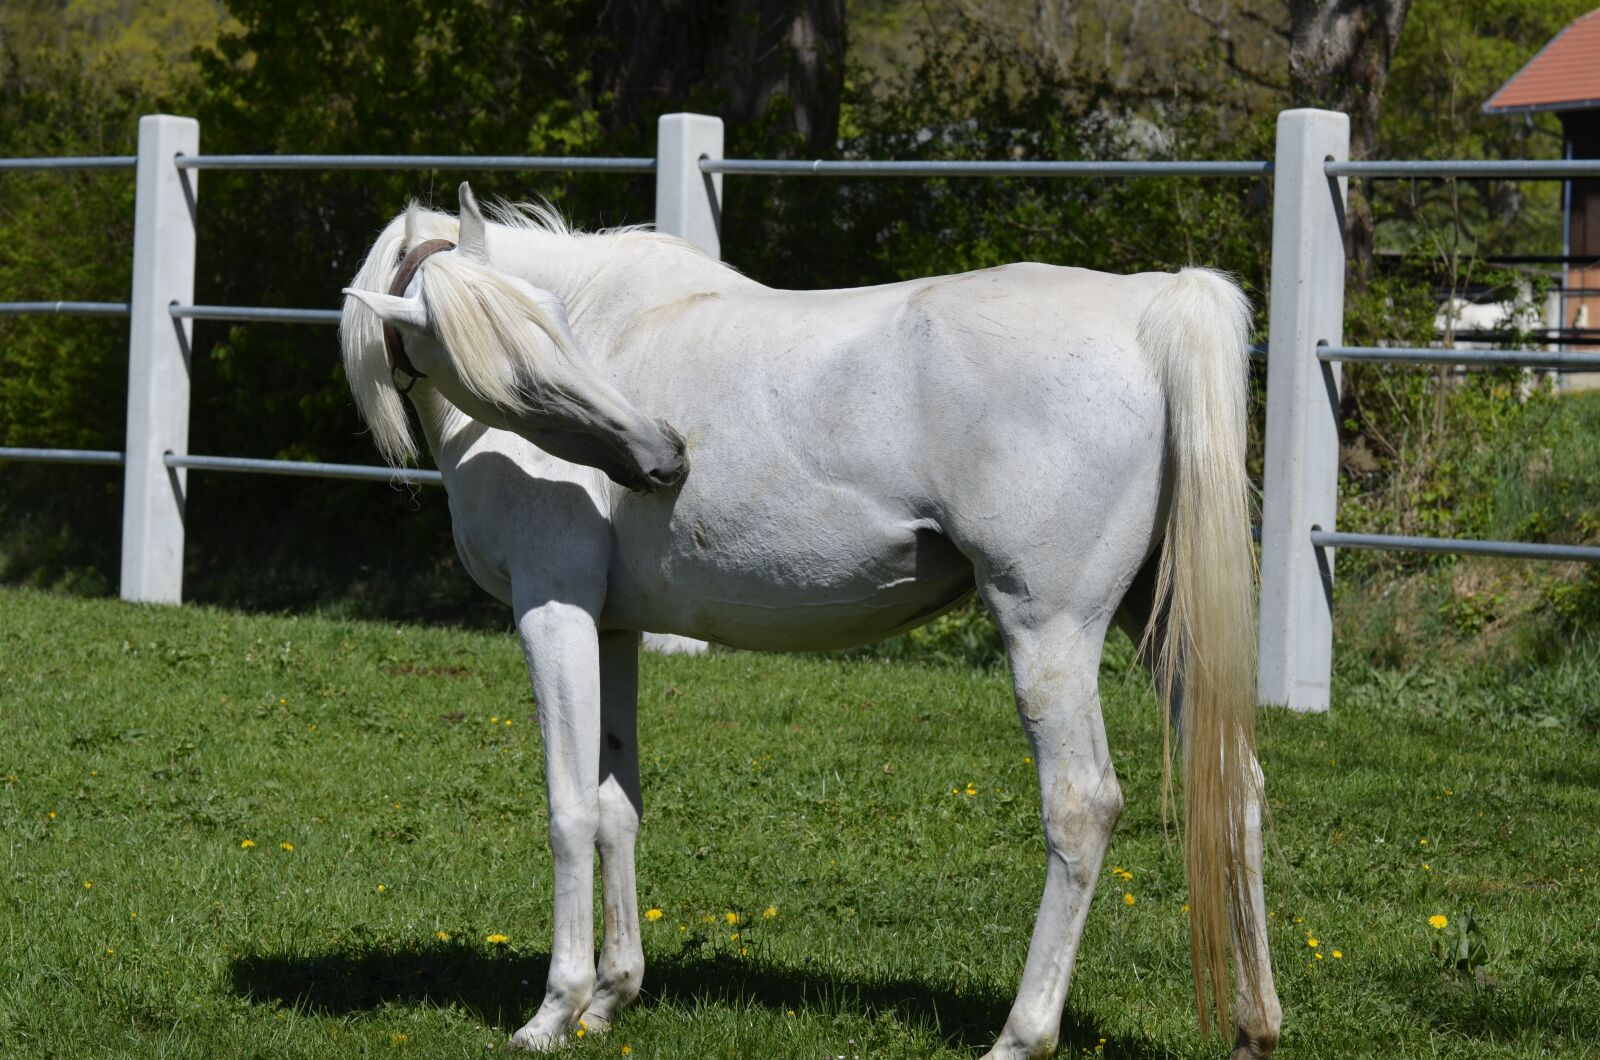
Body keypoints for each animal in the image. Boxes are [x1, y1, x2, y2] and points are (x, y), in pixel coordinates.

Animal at [340, 183, 1279, 1059]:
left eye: (555, 332)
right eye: (520, 363)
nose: (665, 457)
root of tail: (1150, 308)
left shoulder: (553, 612)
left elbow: (568, 810)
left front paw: (554, 1011)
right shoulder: (612, 631)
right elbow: (615, 807)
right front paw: (610, 998)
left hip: (1049, 630)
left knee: (1082, 808)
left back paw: (1022, 1034)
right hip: (1160, 629)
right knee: (1236, 788)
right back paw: (1255, 1026)